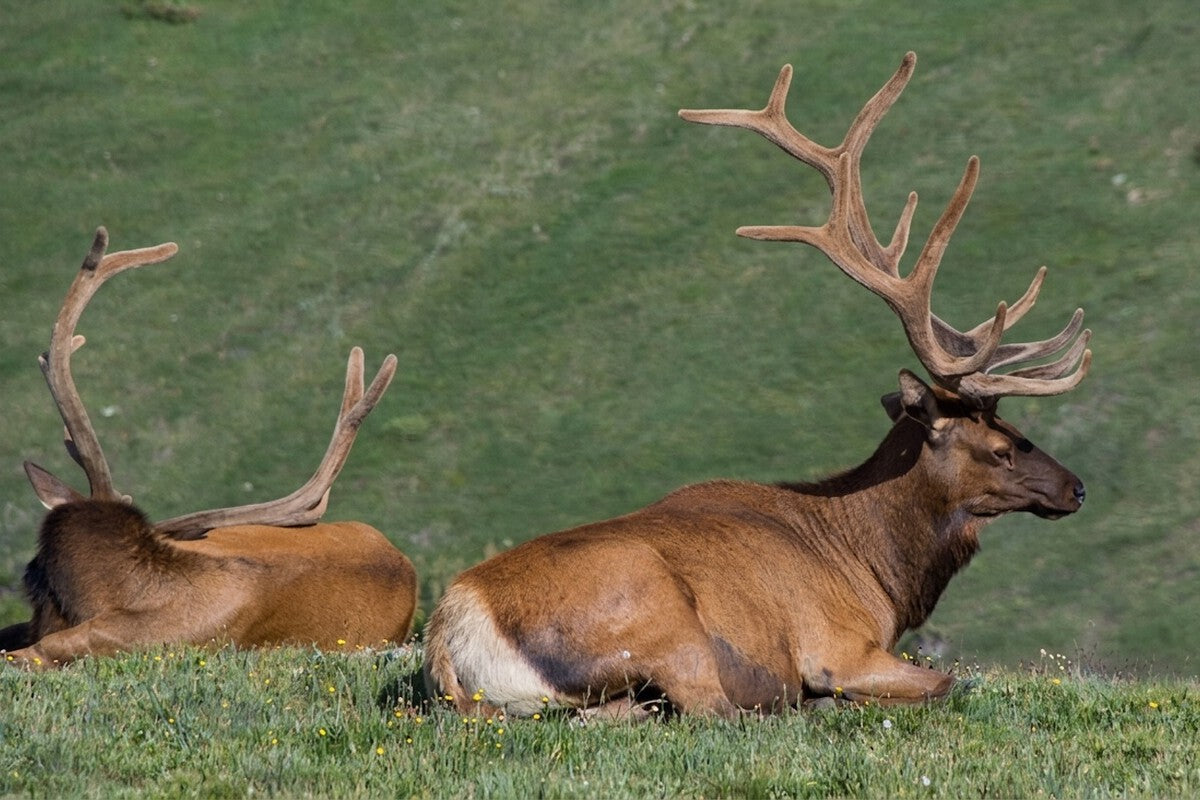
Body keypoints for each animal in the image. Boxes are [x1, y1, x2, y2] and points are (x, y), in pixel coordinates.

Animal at [422, 51, 1092, 719]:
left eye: (1017, 429)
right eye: (1001, 449)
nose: (1077, 488)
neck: (877, 573)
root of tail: (452, 634)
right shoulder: (838, 645)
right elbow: (951, 681)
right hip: (665, 619)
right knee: (711, 709)